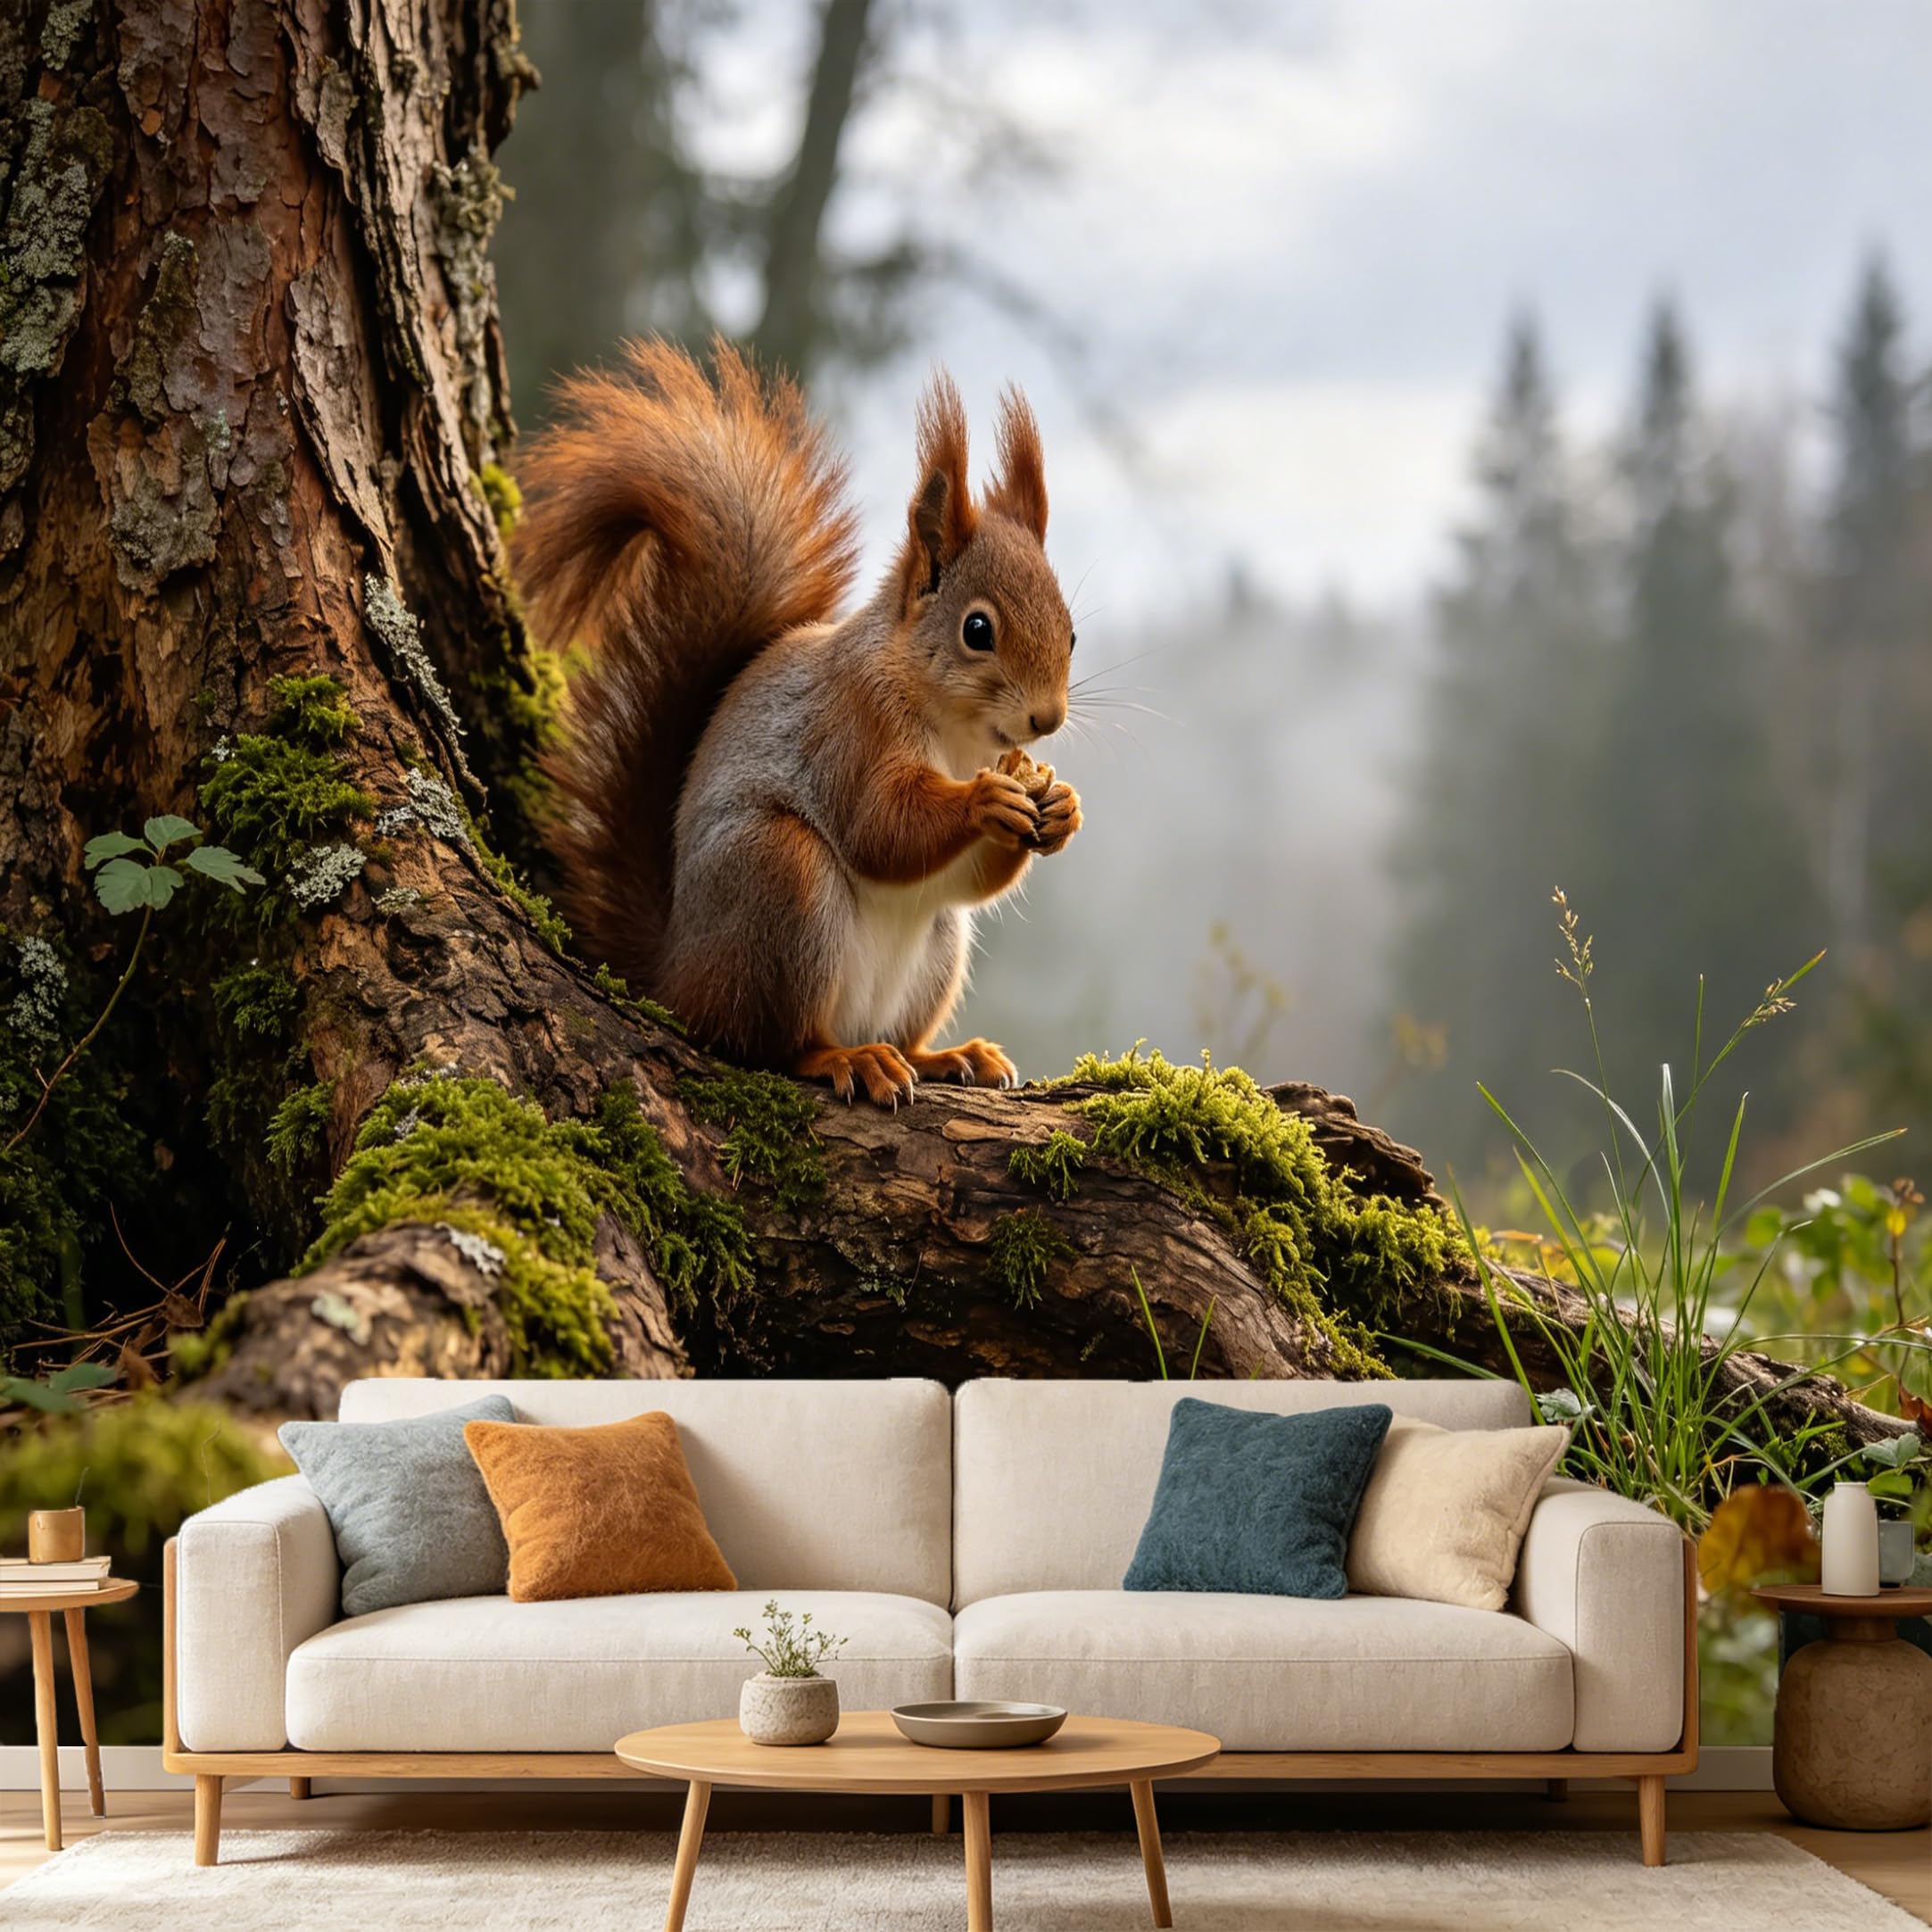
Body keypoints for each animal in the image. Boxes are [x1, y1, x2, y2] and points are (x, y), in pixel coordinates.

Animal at [513, 340, 1082, 1107]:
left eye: (1072, 633)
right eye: (977, 629)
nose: (1046, 717)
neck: (959, 734)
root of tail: (676, 974)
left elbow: (969, 879)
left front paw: (1061, 805)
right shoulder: (850, 723)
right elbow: (879, 827)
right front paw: (984, 800)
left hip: (937, 947)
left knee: (901, 1017)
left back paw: (943, 1054)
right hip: (778, 882)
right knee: (771, 1043)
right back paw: (847, 1059)